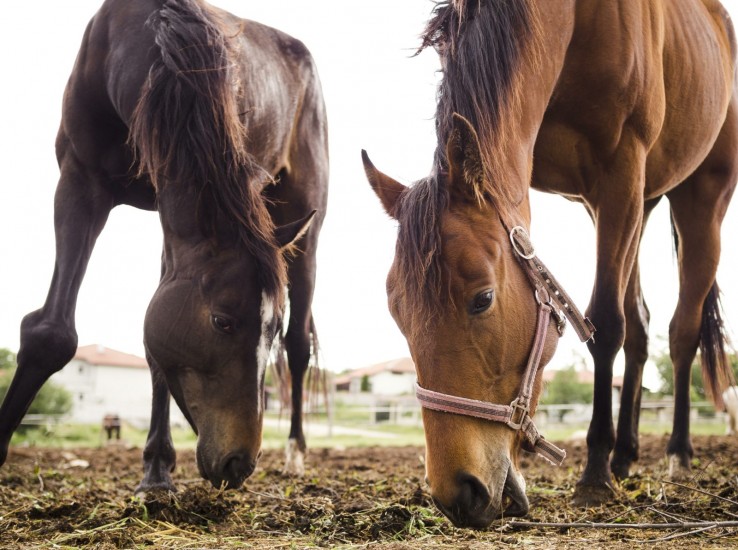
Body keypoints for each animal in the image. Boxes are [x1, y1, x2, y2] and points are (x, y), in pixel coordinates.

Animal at [0, 0, 328, 492]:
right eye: (222, 321)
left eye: (267, 330)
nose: (239, 464)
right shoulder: (81, 183)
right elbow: (52, 334)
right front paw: (156, 468)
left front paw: (158, 469)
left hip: (306, 229)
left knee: (299, 347)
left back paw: (295, 453)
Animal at [362, 0, 736, 532]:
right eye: (397, 314)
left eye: (482, 299)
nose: (457, 495)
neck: (575, 20)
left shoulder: (621, 171)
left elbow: (604, 324)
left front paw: (595, 475)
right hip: (636, 205)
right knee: (642, 327)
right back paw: (626, 455)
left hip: (700, 200)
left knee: (681, 332)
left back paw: (676, 453)